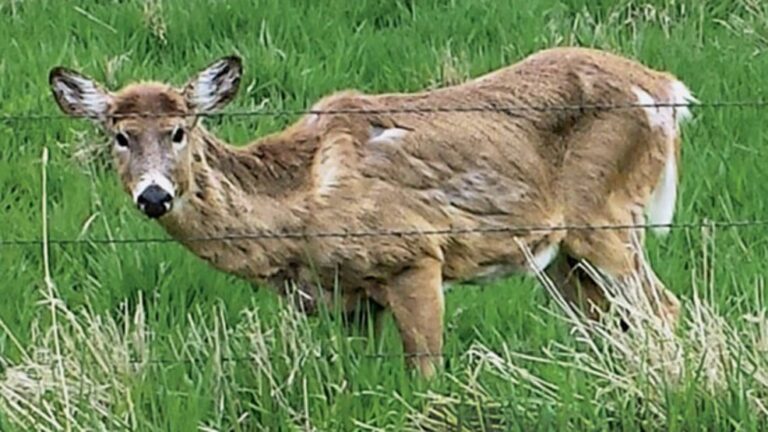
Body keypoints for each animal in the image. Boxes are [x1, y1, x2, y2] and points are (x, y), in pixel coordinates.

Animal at [48, 47, 694, 377]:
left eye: (180, 130)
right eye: (119, 136)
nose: (154, 195)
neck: (299, 208)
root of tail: (667, 89)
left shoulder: (413, 255)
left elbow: (426, 373)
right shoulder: (353, 297)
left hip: (607, 215)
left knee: (663, 308)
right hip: (560, 253)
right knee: (607, 322)